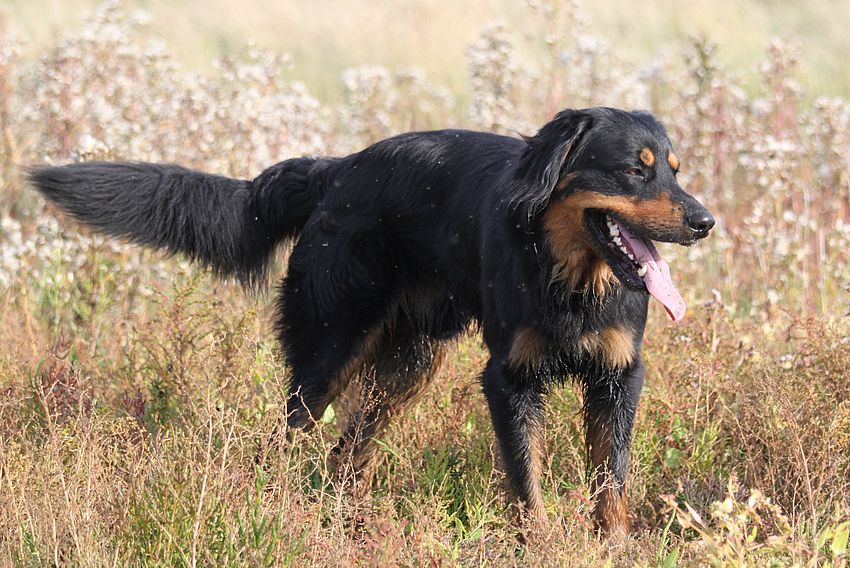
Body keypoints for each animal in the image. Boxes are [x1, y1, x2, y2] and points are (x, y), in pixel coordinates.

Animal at [29, 107, 714, 534]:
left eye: (674, 169)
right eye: (634, 168)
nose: (704, 221)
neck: (569, 276)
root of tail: (334, 169)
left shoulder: (618, 377)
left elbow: (611, 485)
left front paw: (611, 547)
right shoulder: (510, 380)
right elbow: (527, 485)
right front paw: (539, 546)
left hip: (408, 365)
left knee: (345, 457)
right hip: (328, 354)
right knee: (290, 440)